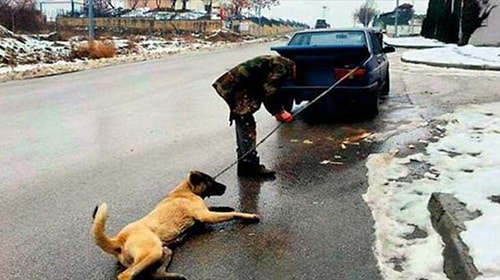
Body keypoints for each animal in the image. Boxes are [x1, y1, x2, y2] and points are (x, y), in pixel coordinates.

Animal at [91, 171, 260, 280]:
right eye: (210, 181)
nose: (225, 187)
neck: (186, 189)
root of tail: (118, 239)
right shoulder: (204, 215)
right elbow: (233, 214)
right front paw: (249, 216)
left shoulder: (204, 212)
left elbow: (217, 207)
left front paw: (226, 207)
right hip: (153, 251)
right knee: (125, 275)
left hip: (163, 251)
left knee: (154, 273)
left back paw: (174, 275)